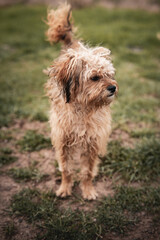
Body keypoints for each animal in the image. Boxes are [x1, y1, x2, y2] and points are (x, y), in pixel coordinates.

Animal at [43, 3, 117, 200]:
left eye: (109, 75)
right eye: (95, 77)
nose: (113, 88)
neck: (82, 107)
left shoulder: (92, 142)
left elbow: (87, 171)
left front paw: (88, 189)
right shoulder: (62, 141)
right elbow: (66, 169)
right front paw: (64, 188)